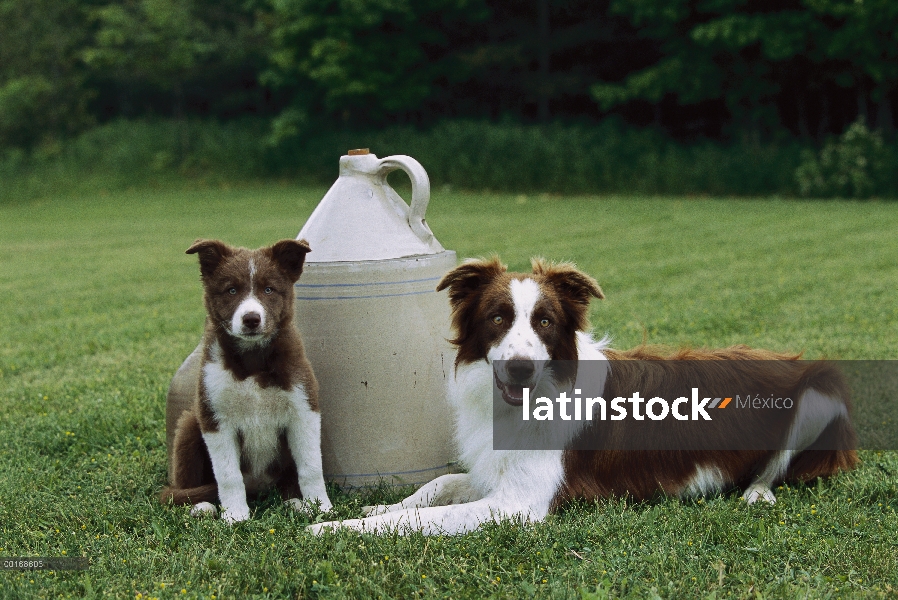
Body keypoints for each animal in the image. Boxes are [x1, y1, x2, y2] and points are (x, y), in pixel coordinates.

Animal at [159, 238, 330, 520]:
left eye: (269, 289)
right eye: (231, 290)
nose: (251, 319)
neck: (252, 361)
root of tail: (258, 488)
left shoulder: (303, 408)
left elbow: (311, 467)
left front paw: (322, 508)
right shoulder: (215, 417)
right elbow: (228, 475)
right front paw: (235, 516)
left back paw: (294, 502)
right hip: (189, 426)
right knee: (181, 487)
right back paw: (201, 506)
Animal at [310, 255, 856, 532]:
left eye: (546, 322)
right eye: (497, 318)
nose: (520, 368)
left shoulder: (520, 503)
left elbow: (428, 518)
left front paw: (331, 530)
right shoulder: (496, 475)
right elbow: (437, 487)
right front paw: (379, 508)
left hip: (820, 392)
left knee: (773, 470)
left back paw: (755, 493)